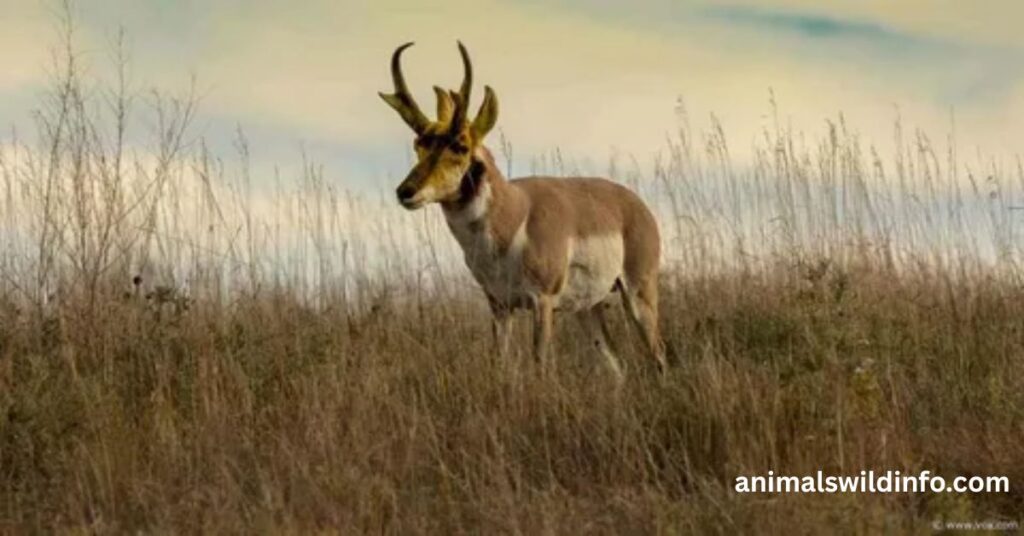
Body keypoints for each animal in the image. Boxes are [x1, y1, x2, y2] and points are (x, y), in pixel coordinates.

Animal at [380, 41, 667, 378]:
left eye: (460, 146)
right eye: (419, 144)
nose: (405, 192)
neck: (515, 215)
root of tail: (634, 203)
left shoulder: (542, 302)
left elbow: (539, 364)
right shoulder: (499, 305)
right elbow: (500, 363)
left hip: (638, 293)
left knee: (658, 355)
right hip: (588, 308)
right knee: (616, 365)